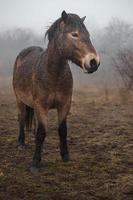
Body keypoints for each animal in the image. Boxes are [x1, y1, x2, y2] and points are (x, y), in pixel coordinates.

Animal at [12, 10, 100, 173]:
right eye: (74, 34)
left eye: (88, 34)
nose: (93, 62)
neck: (53, 74)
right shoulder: (41, 106)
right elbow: (41, 133)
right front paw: (35, 163)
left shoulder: (65, 105)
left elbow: (62, 130)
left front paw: (65, 157)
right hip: (19, 100)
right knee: (21, 118)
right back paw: (21, 143)